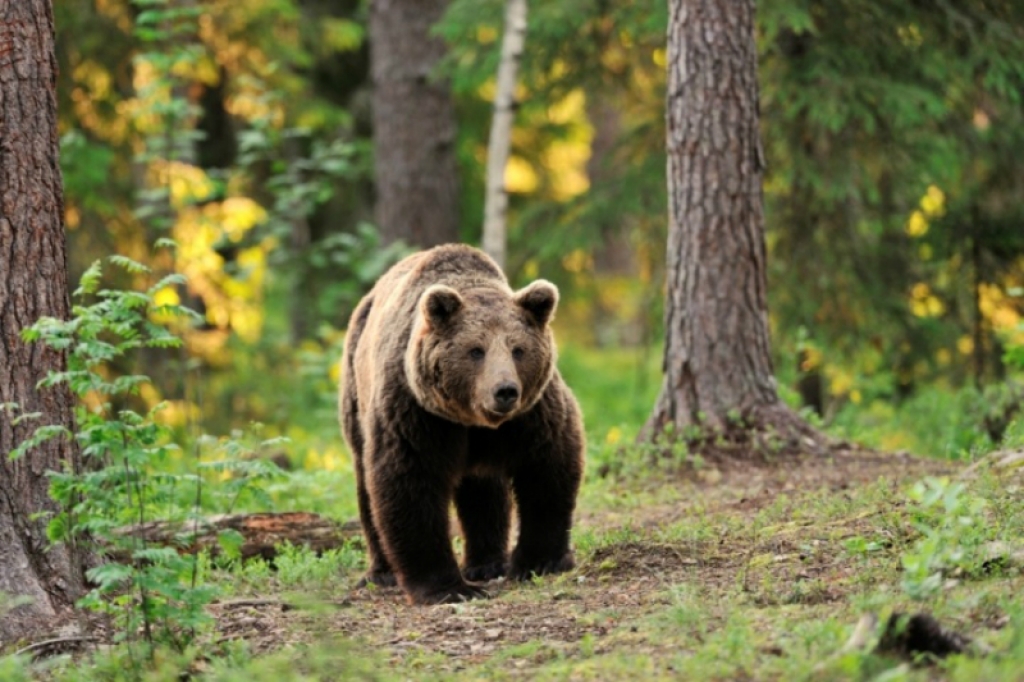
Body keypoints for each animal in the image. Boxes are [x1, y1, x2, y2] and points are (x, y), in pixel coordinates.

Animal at [339, 242, 585, 602]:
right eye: (476, 350)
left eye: (518, 349)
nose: (505, 391)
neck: (472, 420)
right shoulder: (416, 413)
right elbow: (409, 484)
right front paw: (447, 587)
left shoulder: (531, 414)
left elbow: (547, 468)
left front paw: (540, 561)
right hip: (356, 394)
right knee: (366, 486)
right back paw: (382, 572)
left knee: (483, 489)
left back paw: (487, 563)